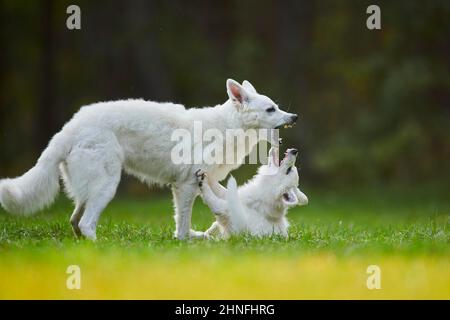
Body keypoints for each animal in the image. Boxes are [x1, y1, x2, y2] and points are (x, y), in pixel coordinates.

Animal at [0, 79, 298, 240]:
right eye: (270, 109)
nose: (294, 117)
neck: (228, 127)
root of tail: (68, 129)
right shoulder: (187, 186)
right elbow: (184, 224)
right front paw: (186, 243)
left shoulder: (190, 186)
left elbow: (189, 218)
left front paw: (193, 239)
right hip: (106, 186)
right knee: (85, 223)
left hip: (90, 188)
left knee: (75, 221)